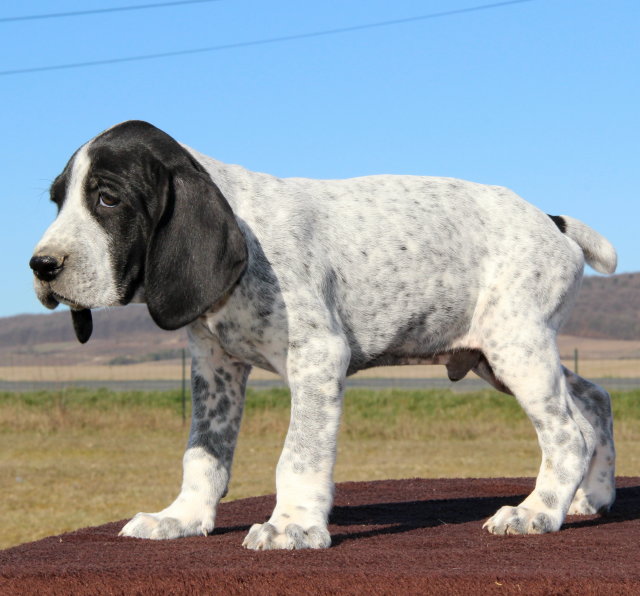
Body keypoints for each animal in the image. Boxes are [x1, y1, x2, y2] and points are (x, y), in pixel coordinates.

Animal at [28, 121, 616, 548]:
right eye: (57, 201)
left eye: (108, 199)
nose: (41, 266)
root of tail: (552, 220)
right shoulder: (215, 369)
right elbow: (203, 453)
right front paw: (183, 517)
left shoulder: (317, 359)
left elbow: (299, 455)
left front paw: (293, 525)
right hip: (499, 354)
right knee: (595, 399)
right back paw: (592, 498)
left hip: (516, 347)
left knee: (567, 433)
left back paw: (537, 513)